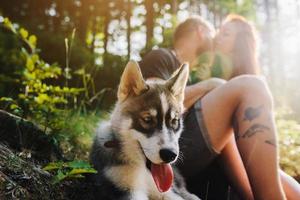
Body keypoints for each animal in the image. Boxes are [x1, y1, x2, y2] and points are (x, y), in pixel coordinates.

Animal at [90, 61, 200, 200]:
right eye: (148, 120)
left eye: (174, 121)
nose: (170, 155)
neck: (143, 170)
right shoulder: (127, 190)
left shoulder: (167, 192)